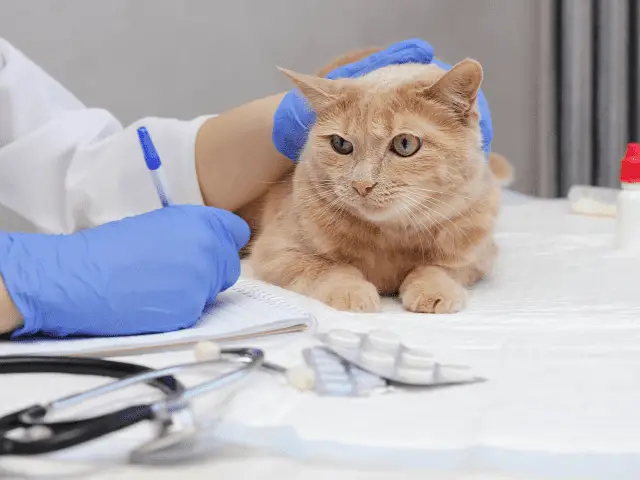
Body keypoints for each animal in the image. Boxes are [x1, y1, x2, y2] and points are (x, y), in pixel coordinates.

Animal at [242, 52, 508, 314]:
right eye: (340, 144)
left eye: (405, 144)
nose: (362, 184)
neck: (391, 238)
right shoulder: (276, 250)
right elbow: (328, 267)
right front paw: (351, 290)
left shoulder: (479, 255)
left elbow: (440, 267)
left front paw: (433, 287)